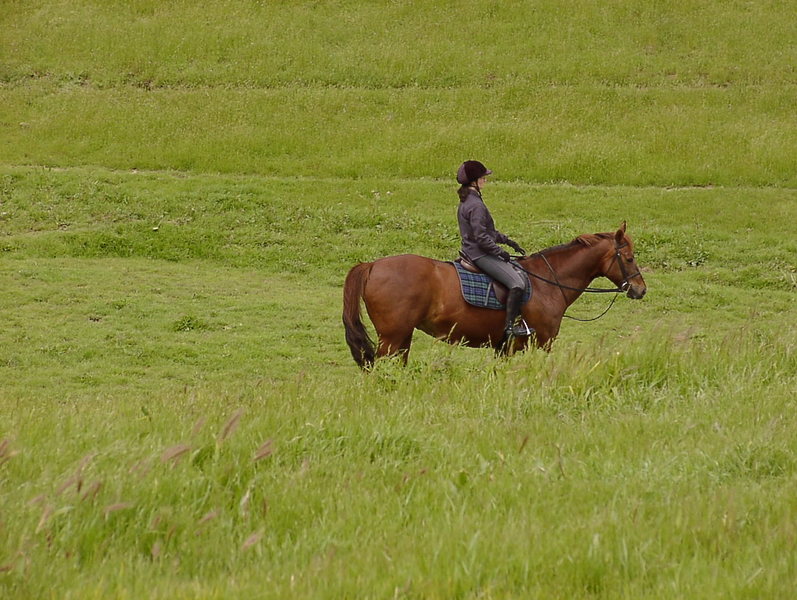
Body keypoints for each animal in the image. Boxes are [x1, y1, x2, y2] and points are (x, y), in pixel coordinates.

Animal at [342, 222, 646, 369]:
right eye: (630, 258)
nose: (641, 289)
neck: (548, 282)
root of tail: (373, 265)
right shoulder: (543, 343)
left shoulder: (504, 348)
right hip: (391, 338)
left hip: (402, 336)